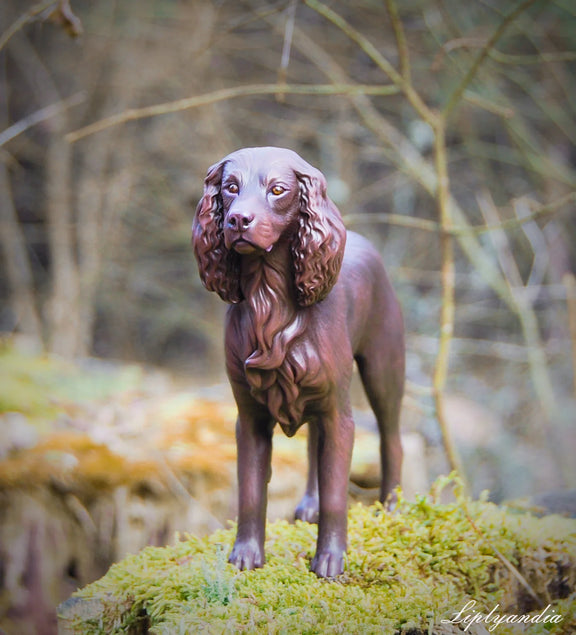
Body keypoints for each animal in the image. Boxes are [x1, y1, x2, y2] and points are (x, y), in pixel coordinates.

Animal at [191, 147, 402, 580]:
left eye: (277, 190)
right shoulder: (250, 418)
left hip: (383, 371)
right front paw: (246, 556)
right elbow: (251, 491)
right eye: (230, 187)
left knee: (392, 439)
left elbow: (338, 493)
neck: (270, 303)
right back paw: (310, 504)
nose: (238, 220)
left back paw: (389, 508)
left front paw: (330, 561)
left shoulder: (339, 414)